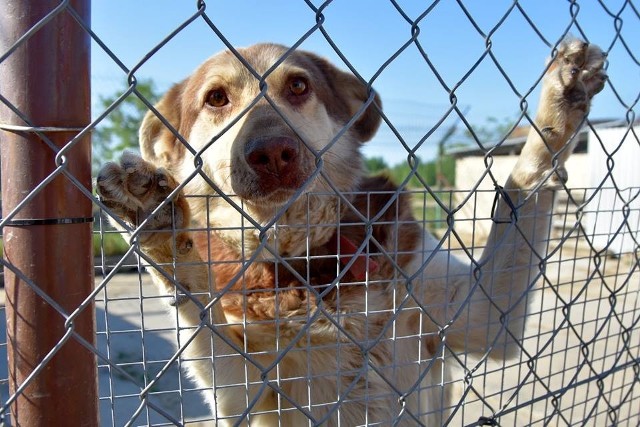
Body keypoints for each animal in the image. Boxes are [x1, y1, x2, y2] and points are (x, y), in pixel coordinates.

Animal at [99, 38, 604, 426]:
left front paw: (559, 107)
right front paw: (160, 226)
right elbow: (199, 308)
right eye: (216, 98)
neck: (308, 264)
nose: (273, 152)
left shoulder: (482, 313)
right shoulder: (245, 393)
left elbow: (524, 185)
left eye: (298, 85)